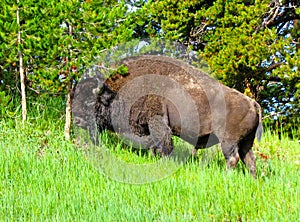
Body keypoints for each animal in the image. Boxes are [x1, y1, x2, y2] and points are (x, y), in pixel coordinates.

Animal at [73, 55, 262, 179]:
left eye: (90, 102)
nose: (76, 121)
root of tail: (252, 103)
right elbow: (155, 146)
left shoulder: (157, 122)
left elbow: (164, 145)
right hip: (246, 142)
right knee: (249, 159)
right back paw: (252, 180)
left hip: (228, 141)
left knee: (233, 158)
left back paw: (226, 177)